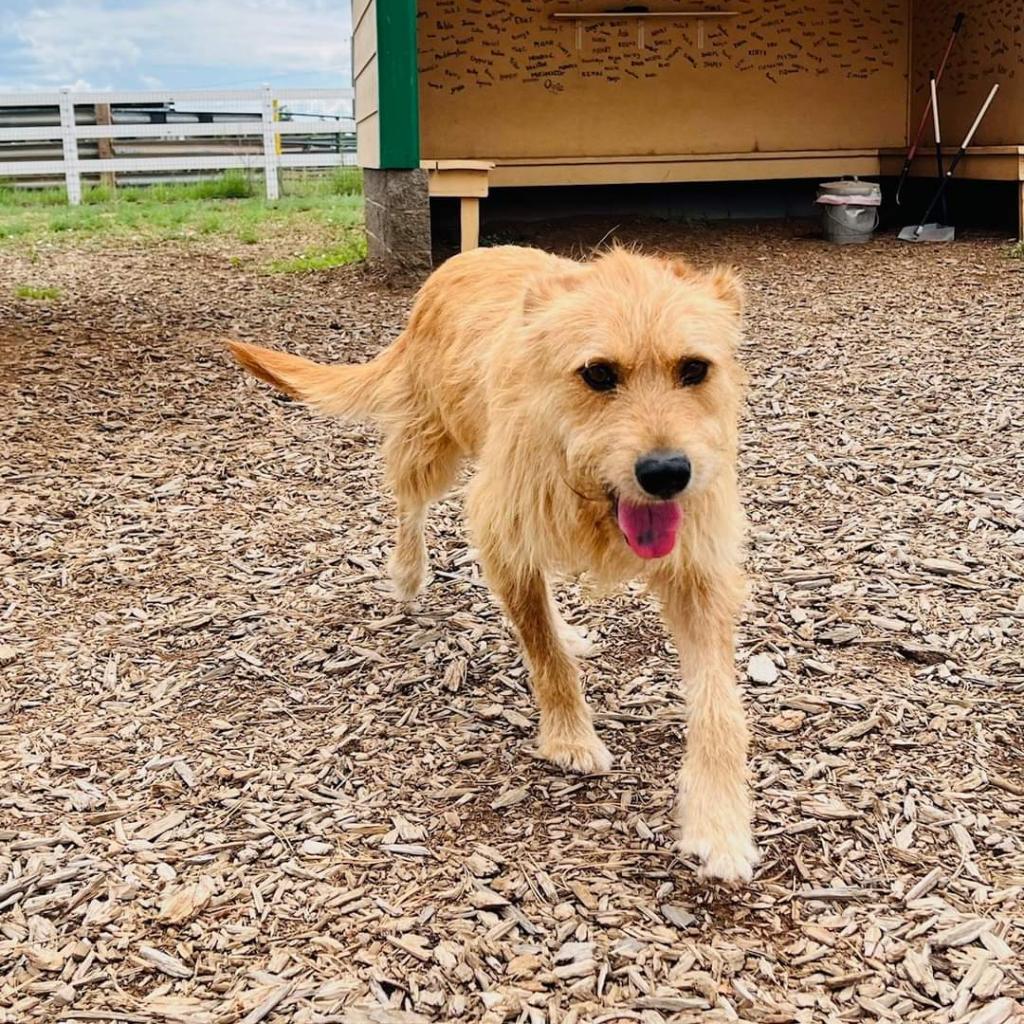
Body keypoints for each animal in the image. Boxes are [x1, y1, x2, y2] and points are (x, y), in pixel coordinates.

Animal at [232, 245, 761, 880]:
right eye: (598, 374)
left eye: (694, 369)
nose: (666, 474)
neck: (587, 488)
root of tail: (463, 258)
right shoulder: (506, 535)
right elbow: (544, 650)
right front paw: (569, 737)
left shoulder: (697, 571)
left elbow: (718, 705)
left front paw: (720, 821)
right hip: (430, 445)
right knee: (408, 503)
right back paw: (408, 571)